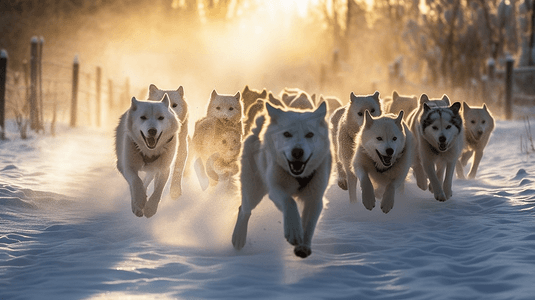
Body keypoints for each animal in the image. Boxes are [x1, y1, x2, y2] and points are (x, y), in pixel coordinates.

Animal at [233, 101, 332, 258]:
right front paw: (293, 231)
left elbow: (309, 223)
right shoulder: (275, 190)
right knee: (244, 210)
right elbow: (290, 202)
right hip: (253, 191)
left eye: (310, 134)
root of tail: (255, 134)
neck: (297, 176)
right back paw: (238, 237)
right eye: (287, 134)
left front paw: (303, 246)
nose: (297, 152)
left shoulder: (315, 198)